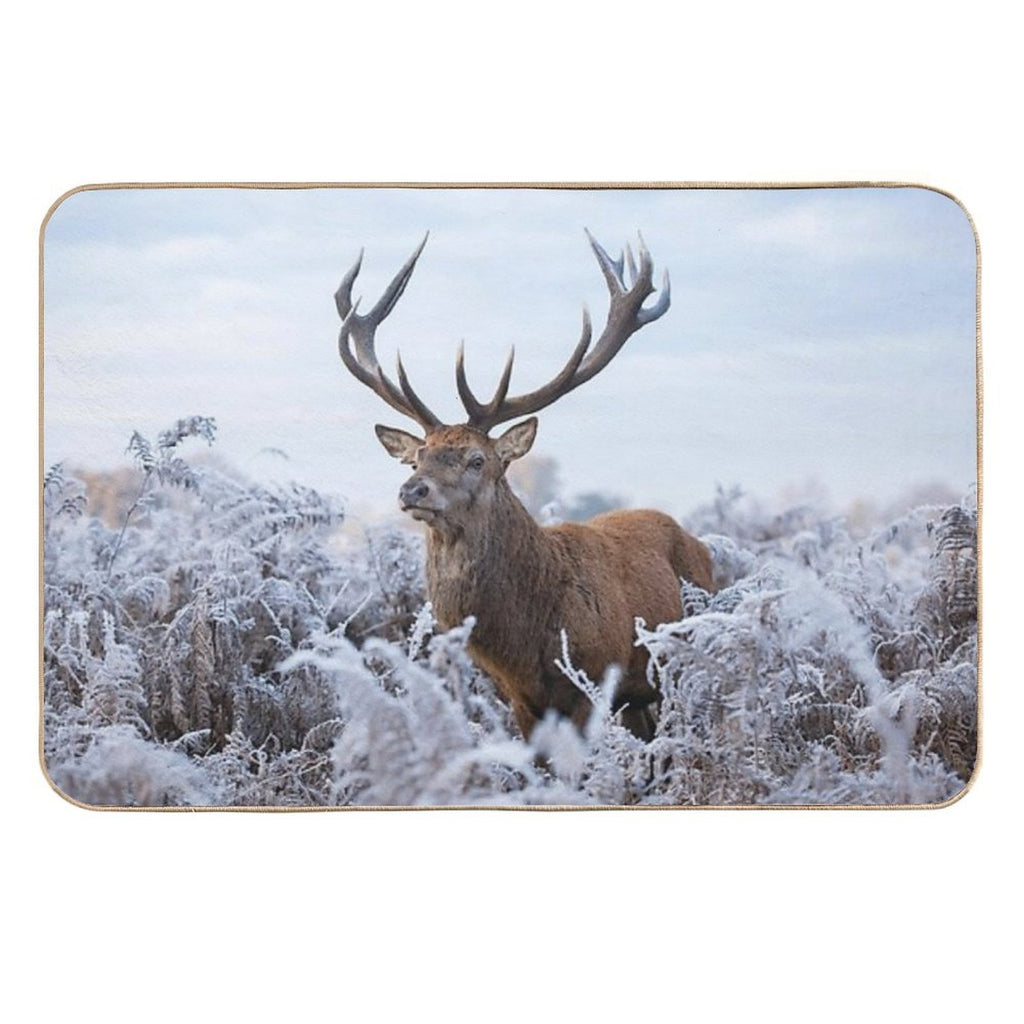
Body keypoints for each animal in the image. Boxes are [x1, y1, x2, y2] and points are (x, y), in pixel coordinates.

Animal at [334, 231, 713, 742]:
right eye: (418, 456)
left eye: (477, 460)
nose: (413, 490)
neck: (528, 642)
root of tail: (704, 548)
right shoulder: (517, 699)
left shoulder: (592, 682)